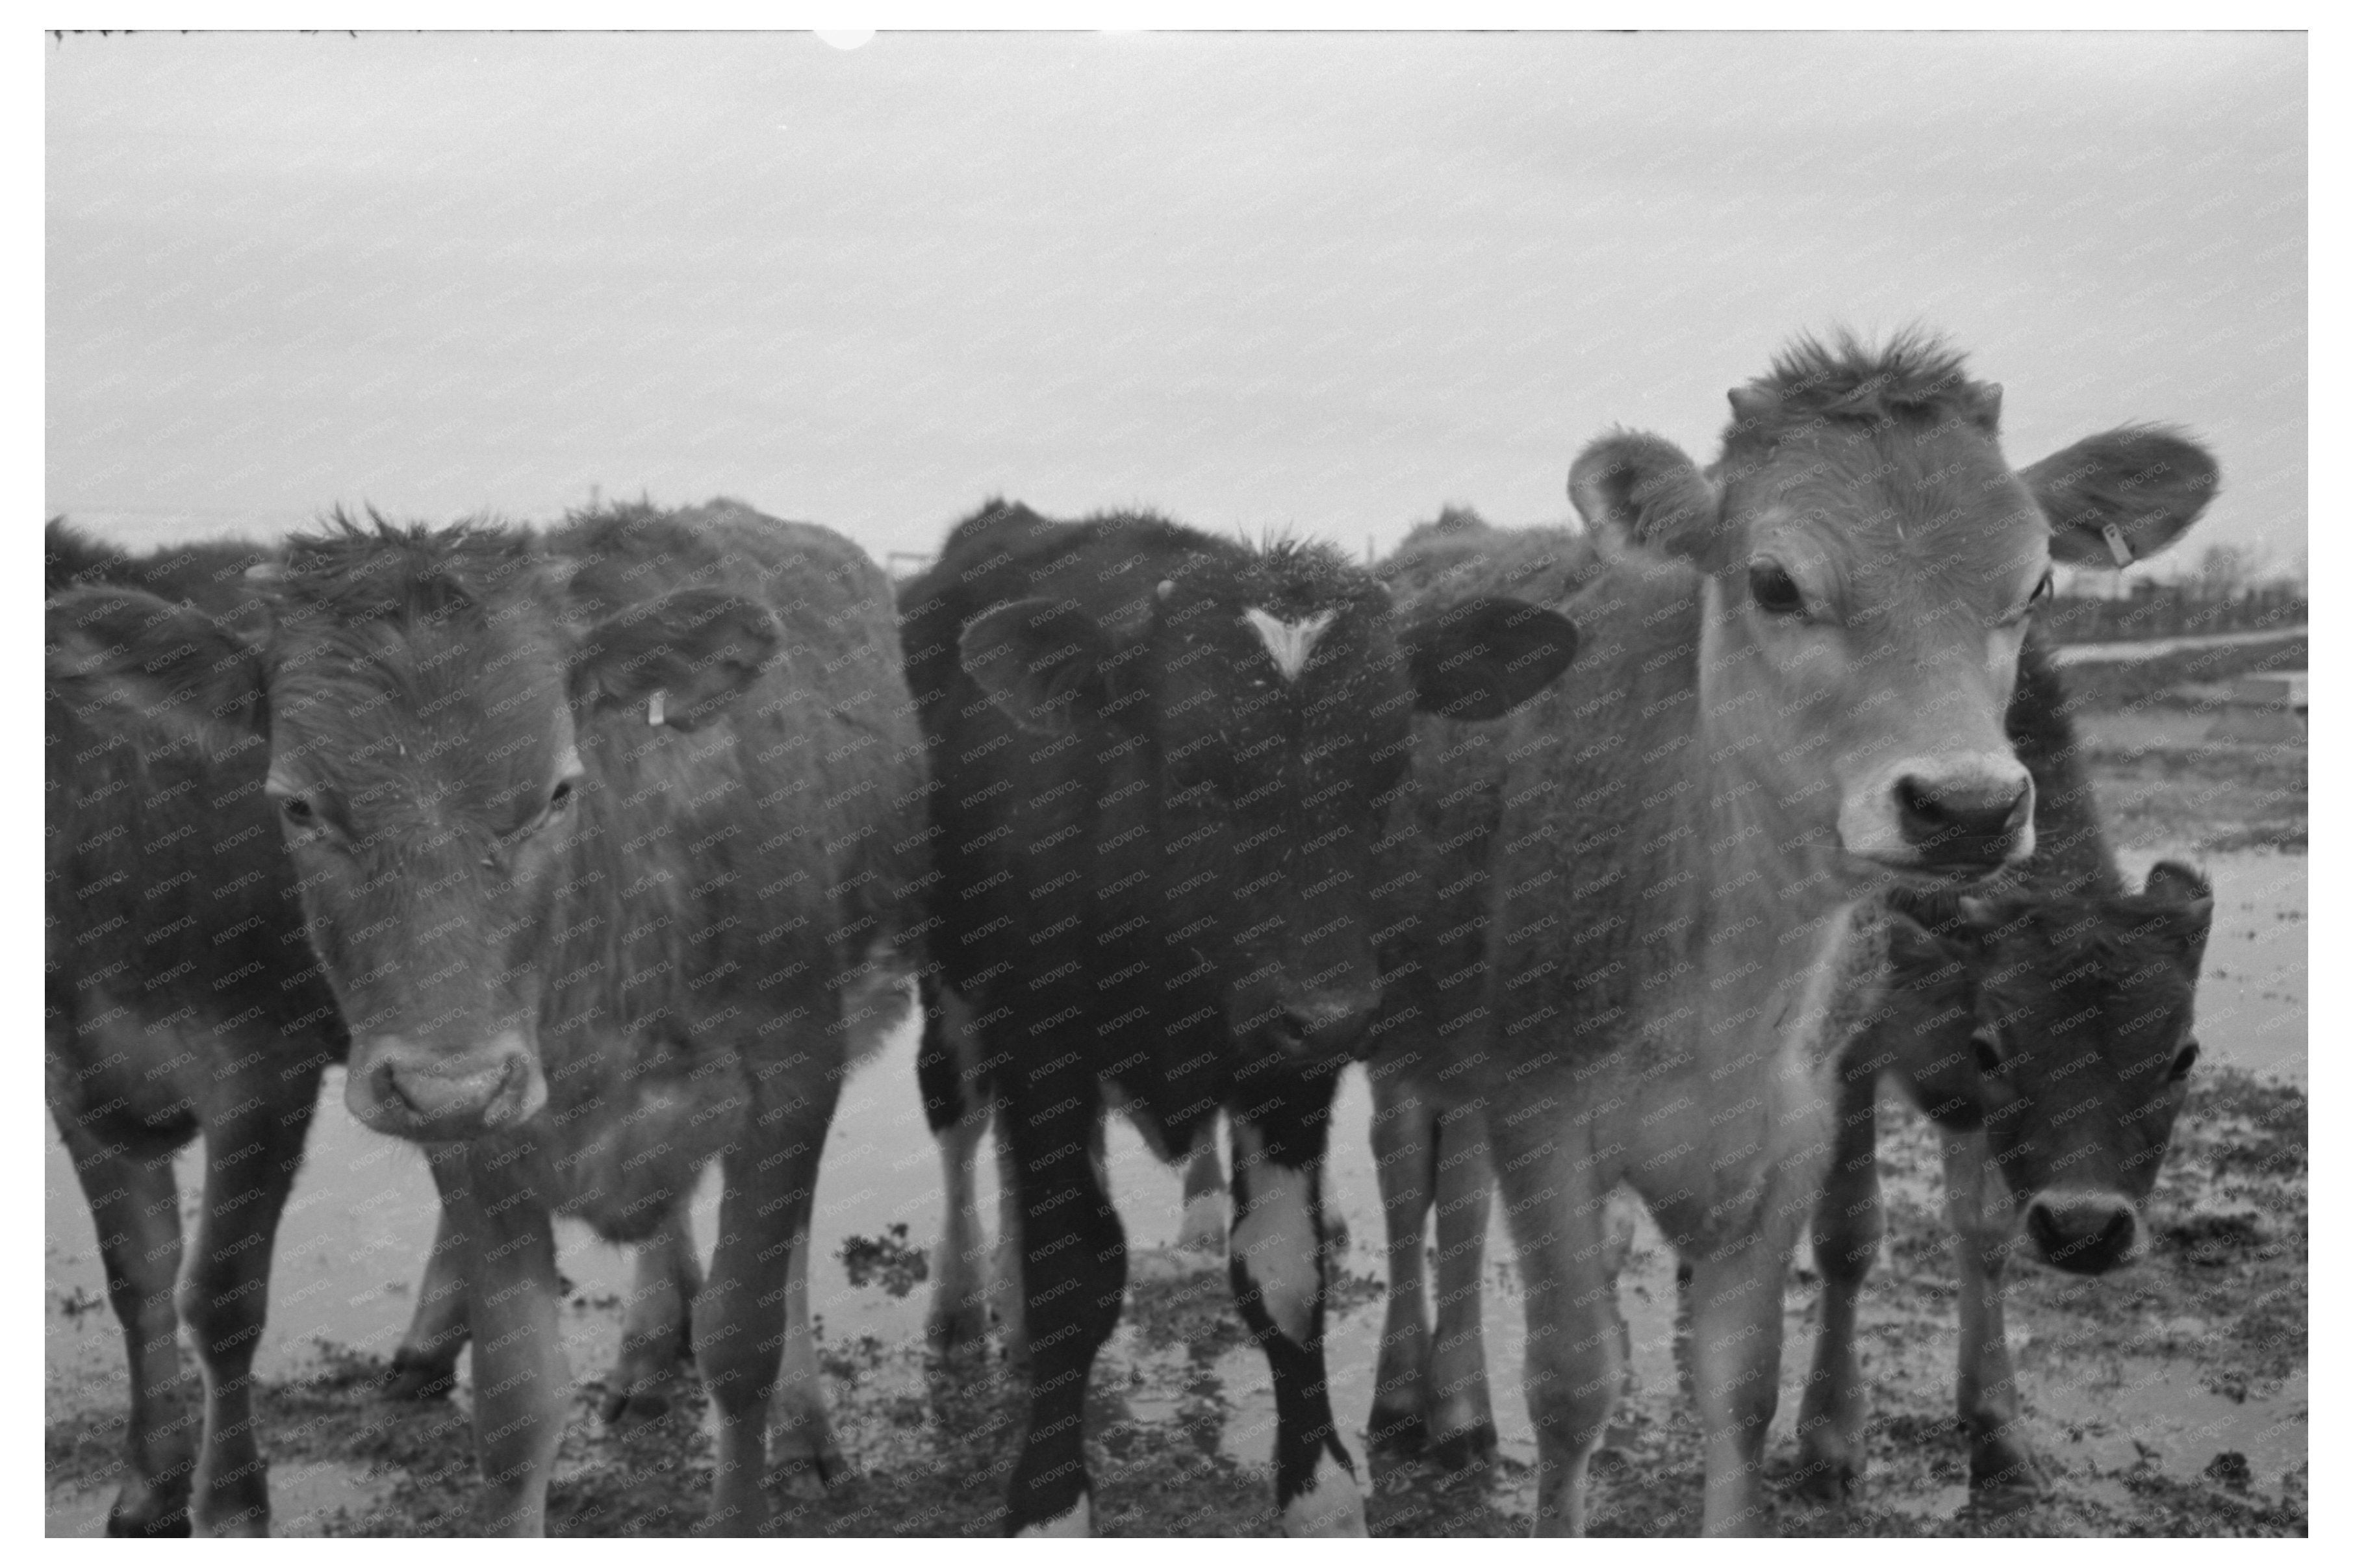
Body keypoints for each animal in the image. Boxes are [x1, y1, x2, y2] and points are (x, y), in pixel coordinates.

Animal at [47, 500, 927, 1536]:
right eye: (298, 805)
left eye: (557, 790)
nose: (446, 1084)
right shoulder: (474, 1141)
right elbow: (513, 1404)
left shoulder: (791, 1070)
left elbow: (742, 1338)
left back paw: (803, 1430)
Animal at [897, 500, 1578, 1536]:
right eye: (1193, 766)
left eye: (1388, 768)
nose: (1335, 1011)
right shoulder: (1043, 1041)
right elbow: (1075, 1270)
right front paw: (1049, 1500)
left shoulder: (1286, 1066)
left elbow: (1284, 1272)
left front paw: (1320, 1492)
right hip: (954, 992)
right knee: (960, 1118)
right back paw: (962, 1303)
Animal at [1372, 332, 2216, 1535]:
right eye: (1772, 580)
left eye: (2039, 581)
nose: (1965, 804)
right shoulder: (1541, 1109)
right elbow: (1575, 1380)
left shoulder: (1794, 1124)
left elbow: (1747, 1381)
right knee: (1415, 1184)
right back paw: (1423, 1399)